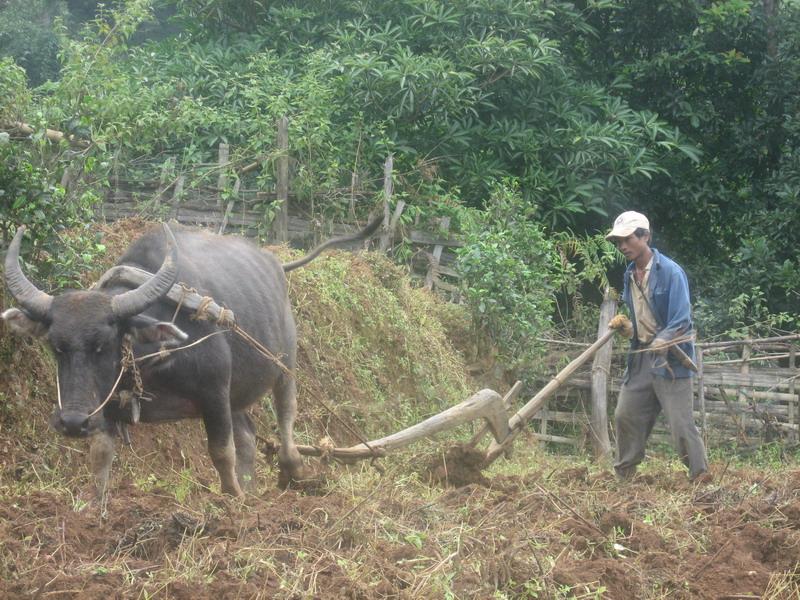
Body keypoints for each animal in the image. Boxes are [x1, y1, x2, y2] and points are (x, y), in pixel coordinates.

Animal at [0, 218, 382, 500]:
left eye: (104, 344)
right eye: (56, 346)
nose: (73, 422)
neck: (154, 359)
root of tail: (275, 265)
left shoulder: (214, 392)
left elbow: (221, 451)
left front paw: (232, 501)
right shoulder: (106, 404)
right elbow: (100, 456)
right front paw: (95, 508)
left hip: (284, 361)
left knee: (286, 414)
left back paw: (294, 472)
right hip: (237, 392)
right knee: (248, 435)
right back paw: (252, 490)